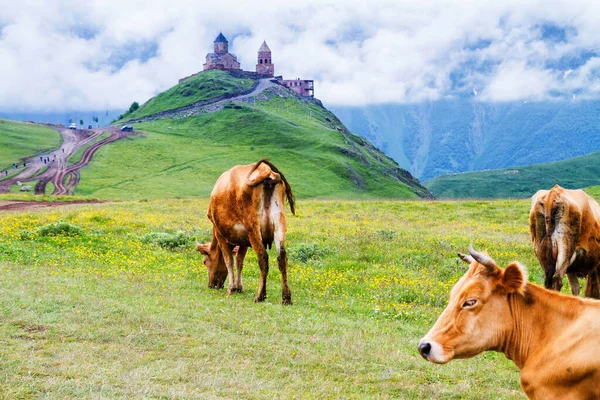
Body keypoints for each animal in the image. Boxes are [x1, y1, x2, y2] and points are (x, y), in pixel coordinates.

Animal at [197, 159, 296, 304]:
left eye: (205, 262)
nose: (211, 285)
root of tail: (267, 172)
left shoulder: (221, 236)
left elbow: (229, 261)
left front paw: (232, 288)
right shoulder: (243, 240)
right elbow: (239, 261)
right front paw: (238, 287)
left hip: (253, 228)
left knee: (263, 258)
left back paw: (260, 295)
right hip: (279, 225)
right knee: (282, 258)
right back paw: (286, 298)